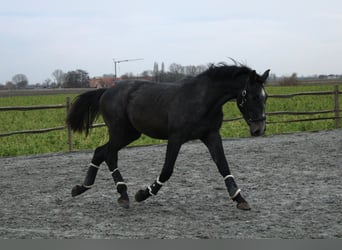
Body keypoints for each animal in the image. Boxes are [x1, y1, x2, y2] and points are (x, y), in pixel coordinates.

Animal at [67, 63, 270, 210]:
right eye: (252, 96)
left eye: (265, 97)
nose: (259, 129)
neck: (202, 100)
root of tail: (106, 91)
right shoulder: (176, 138)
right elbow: (167, 171)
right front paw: (143, 194)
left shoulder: (211, 135)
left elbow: (223, 165)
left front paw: (239, 198)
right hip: (120, 132)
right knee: (107, 154)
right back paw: (120, 193)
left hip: (130, 134)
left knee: (101, 152)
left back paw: (86, 188)